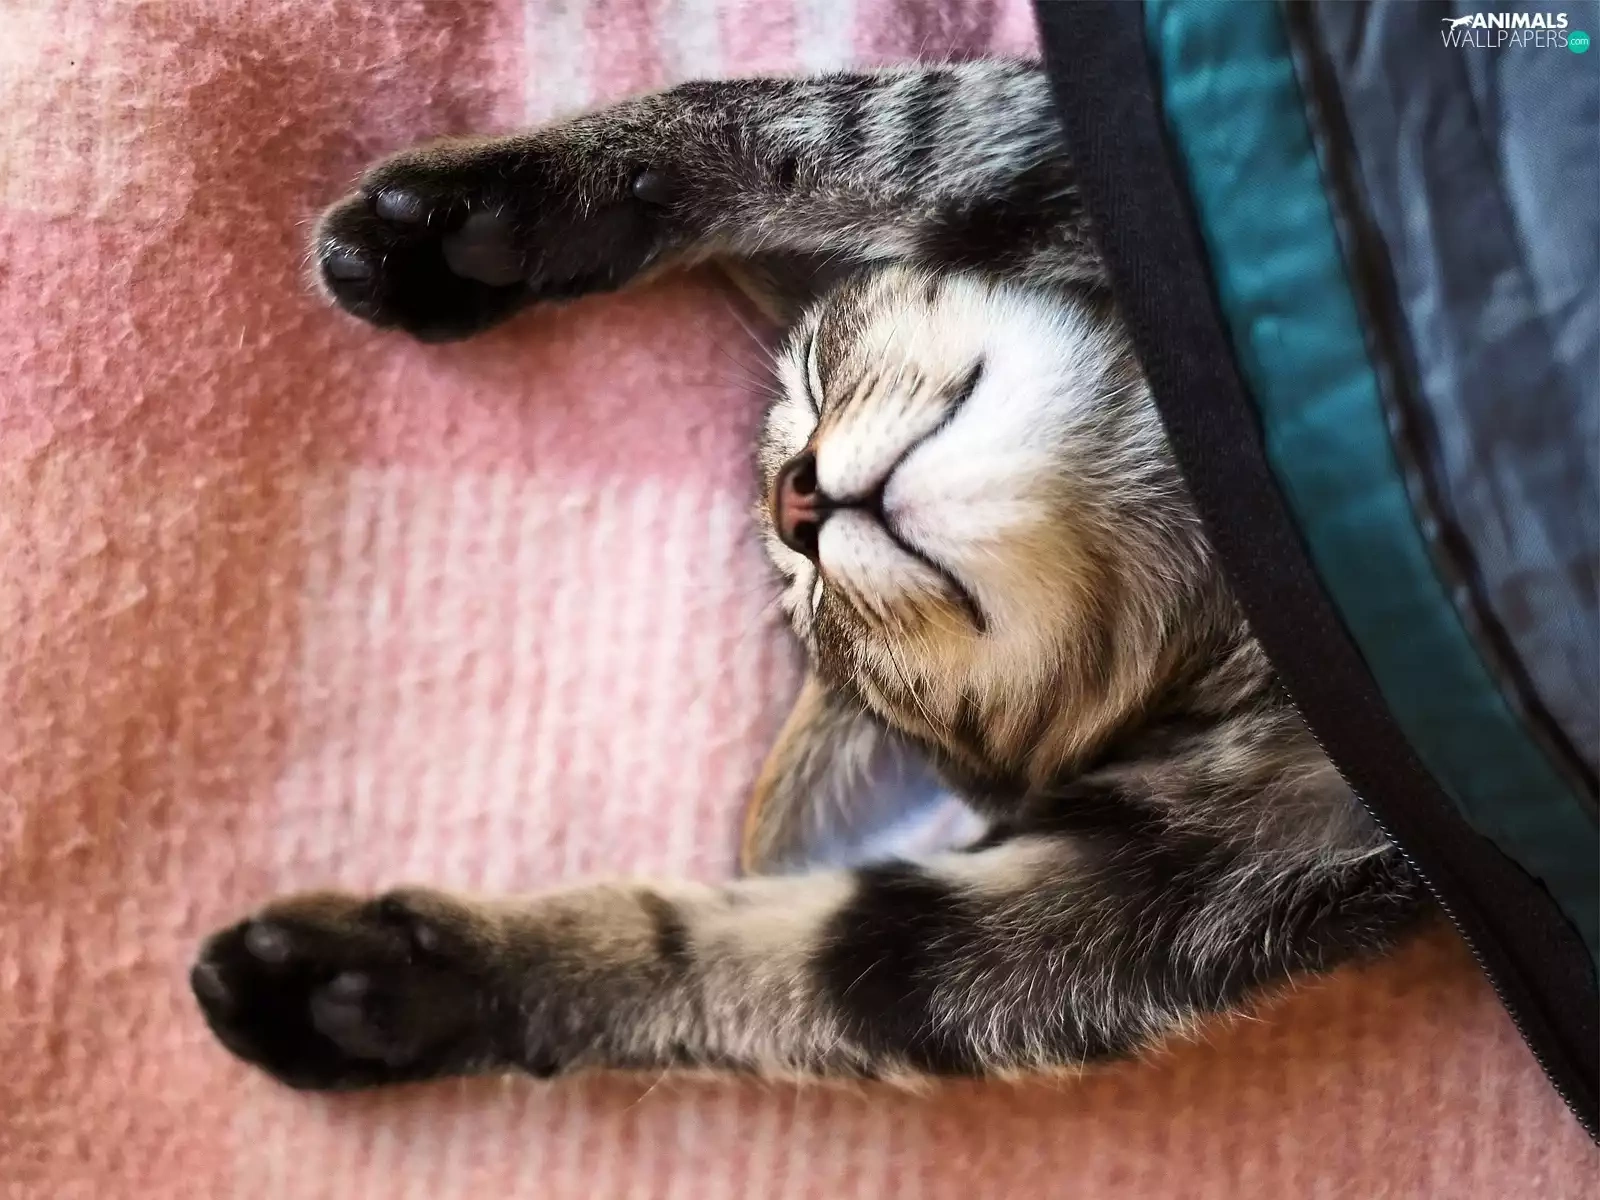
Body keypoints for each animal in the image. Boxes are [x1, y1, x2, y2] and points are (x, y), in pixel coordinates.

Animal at [190, 60, 1427, 1089]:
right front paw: (415, 989)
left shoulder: (1111, 150)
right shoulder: (1214, 878)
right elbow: (829, 967)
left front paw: (503, 212)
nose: (795, 500)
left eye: (815, 379)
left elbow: (890, 132)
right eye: (822, 617)